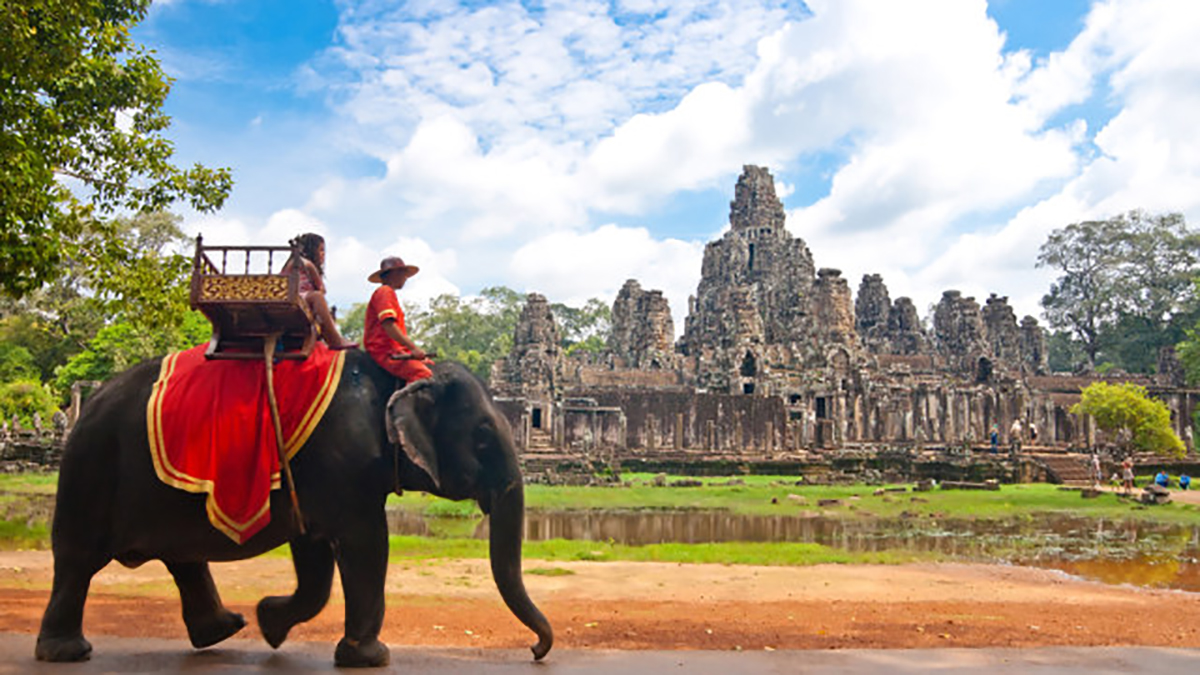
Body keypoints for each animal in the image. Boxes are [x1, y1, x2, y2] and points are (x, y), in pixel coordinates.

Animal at [35, 348, 552, 662]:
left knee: (182, 559)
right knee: (77, 561)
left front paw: (271, 624)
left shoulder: (315, 481)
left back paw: (223, 629)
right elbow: (367, 544)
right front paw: (370, 658)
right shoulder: (342, 464)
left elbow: (315, 560)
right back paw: (67, 652)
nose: (534, 651)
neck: (399, 375)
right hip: (91, 469)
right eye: (483, 437)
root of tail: (90, 400)